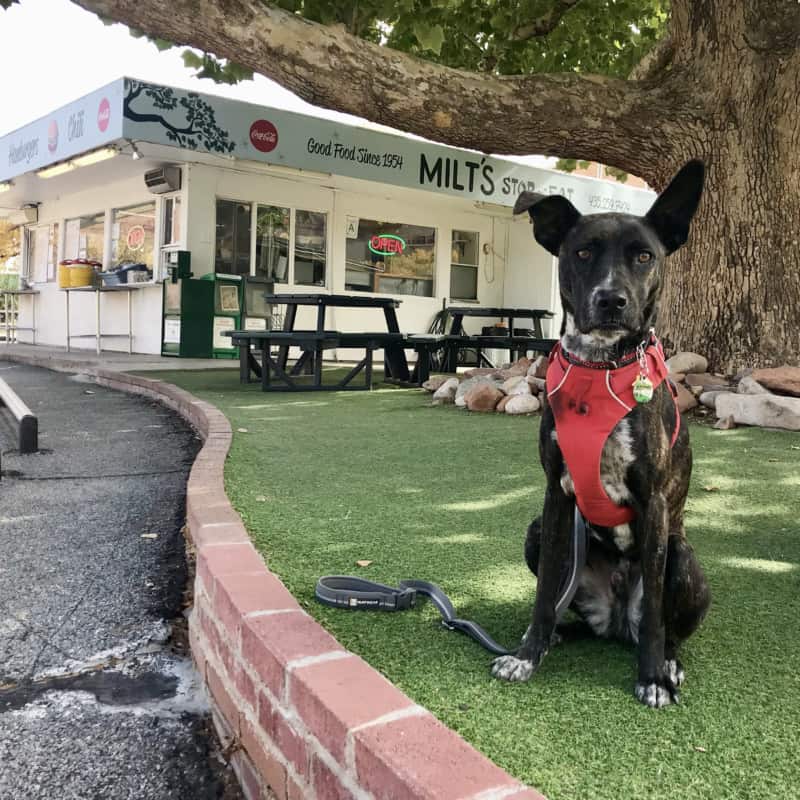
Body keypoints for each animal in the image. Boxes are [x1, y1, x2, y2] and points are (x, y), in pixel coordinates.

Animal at [494, 161, 712, 708]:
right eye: (583, 252)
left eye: (644, 256)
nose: (611, 300)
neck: (600, 368)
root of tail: (615, 621)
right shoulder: (555, 497)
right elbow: (545, 591)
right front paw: (527, 654)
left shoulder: (653, 503)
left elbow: (655, 609)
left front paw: (652, 678)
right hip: (537, 532)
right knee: (565, 605)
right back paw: (556, 633)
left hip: (682, 555)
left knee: (663, 625)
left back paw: (667, 662)